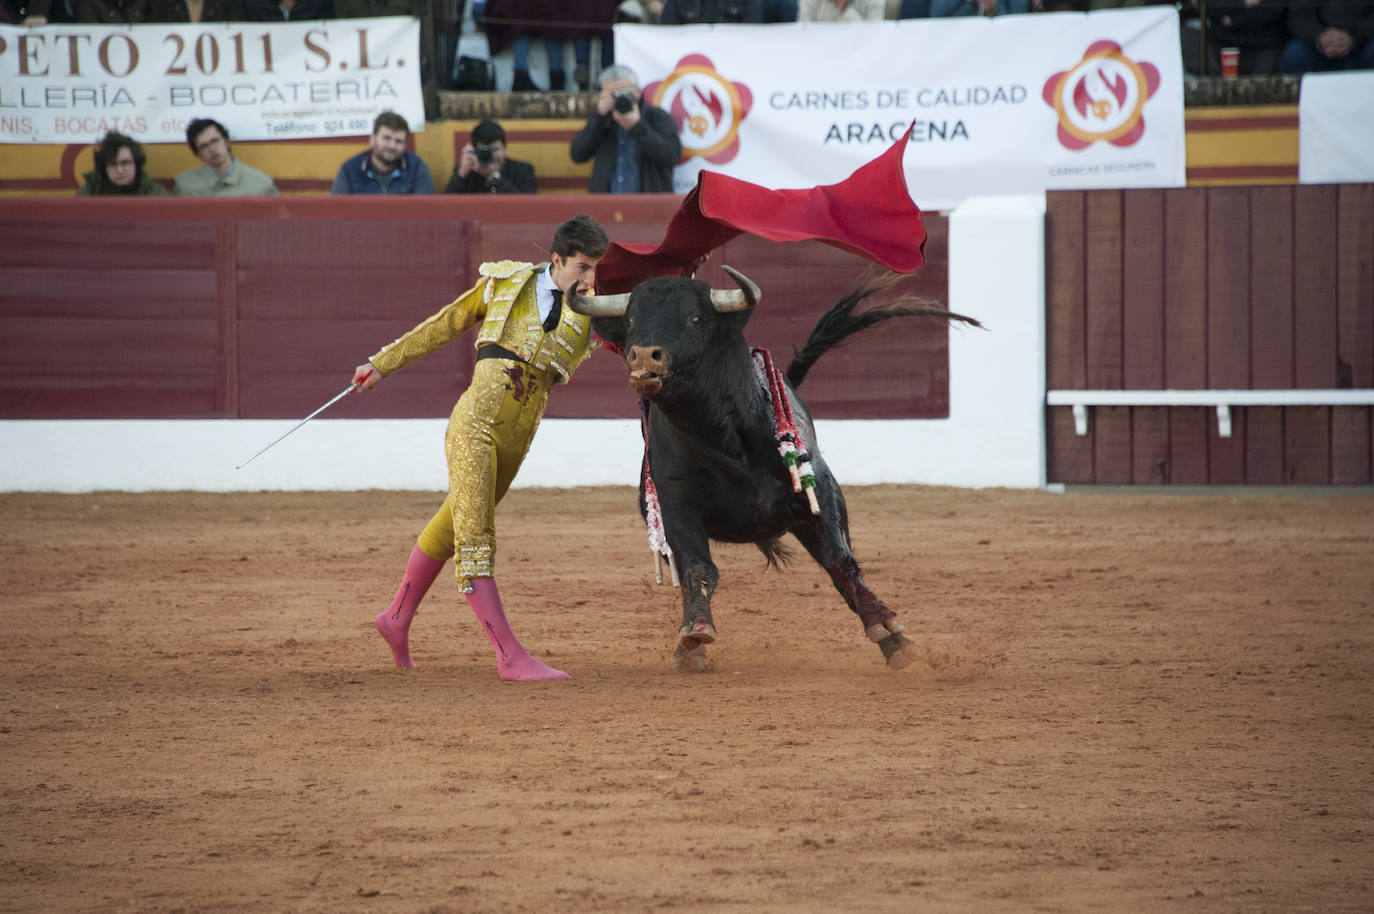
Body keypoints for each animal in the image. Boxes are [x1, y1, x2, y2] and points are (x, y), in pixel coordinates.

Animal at [566, 268, 978, 673]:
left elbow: (840, 560)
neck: (722, 435)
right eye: (630, 320)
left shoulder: (820, 492)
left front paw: (889, 628)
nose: (643, 357)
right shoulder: (675, 504)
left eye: (695, 318)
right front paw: (695, 632)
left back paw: (895, 643)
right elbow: (697, 568)